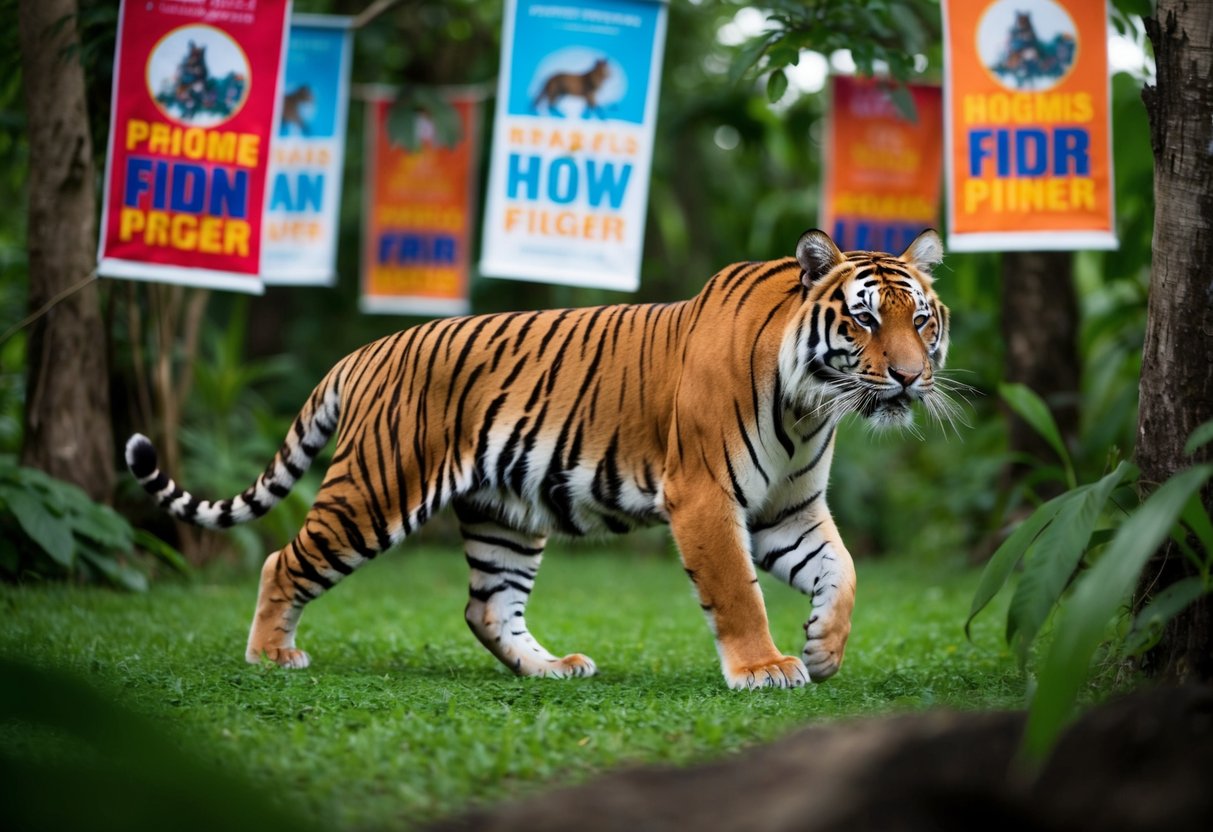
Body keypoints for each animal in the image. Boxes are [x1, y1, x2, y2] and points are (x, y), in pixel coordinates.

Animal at [126, 229, 954, 690]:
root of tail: (367, 349)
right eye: (863, 321)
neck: (808, 405)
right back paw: (272, 655)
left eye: (919, 321)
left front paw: (823, 649)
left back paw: (552, 669)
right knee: (282, 561)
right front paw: (765, 669)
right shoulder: (705, 497)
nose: (908, 377)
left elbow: (842, 570)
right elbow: (736, 593)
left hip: (505, 514)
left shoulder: (788, 508)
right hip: (375, 491)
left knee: (486, 606)